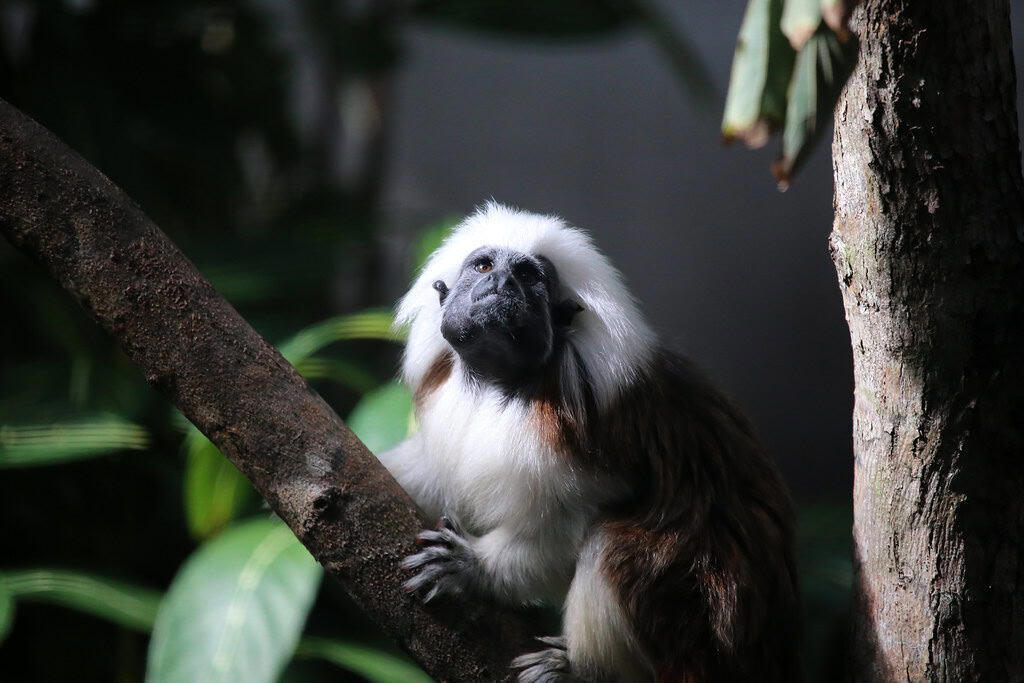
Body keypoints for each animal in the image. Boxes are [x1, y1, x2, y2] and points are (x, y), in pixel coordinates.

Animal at [379, 202, 800, 682]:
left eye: (528, 276)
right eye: (484, 265)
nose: (501, 283)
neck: (496, 386)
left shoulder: (570, 438)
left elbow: (568, 526)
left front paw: (474, 568)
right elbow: (433, 474)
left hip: (698, 631)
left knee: (612, 543)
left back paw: (583, 670)